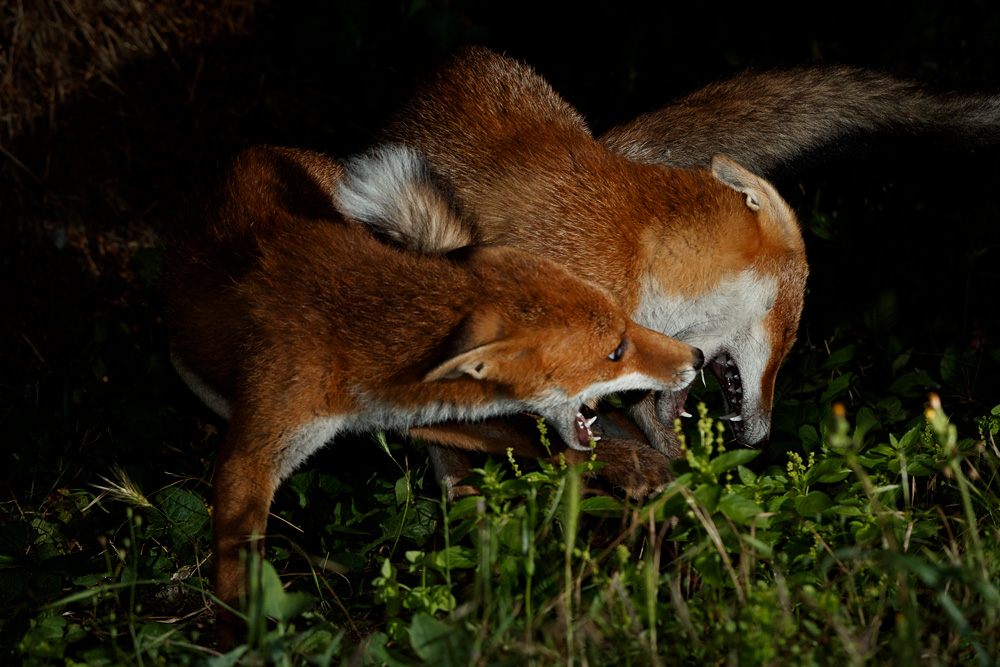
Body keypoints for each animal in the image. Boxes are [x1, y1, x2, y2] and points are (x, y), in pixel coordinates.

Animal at [160, 143, 704, 645]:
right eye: (615, 351)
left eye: (625, 320)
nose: (697, 357)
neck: (346, 331)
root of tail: (252, 150)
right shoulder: (251, 458)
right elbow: (236, 588)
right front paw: (243, 647)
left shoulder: (407, 406)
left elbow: (539, 440)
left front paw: (635, 468)